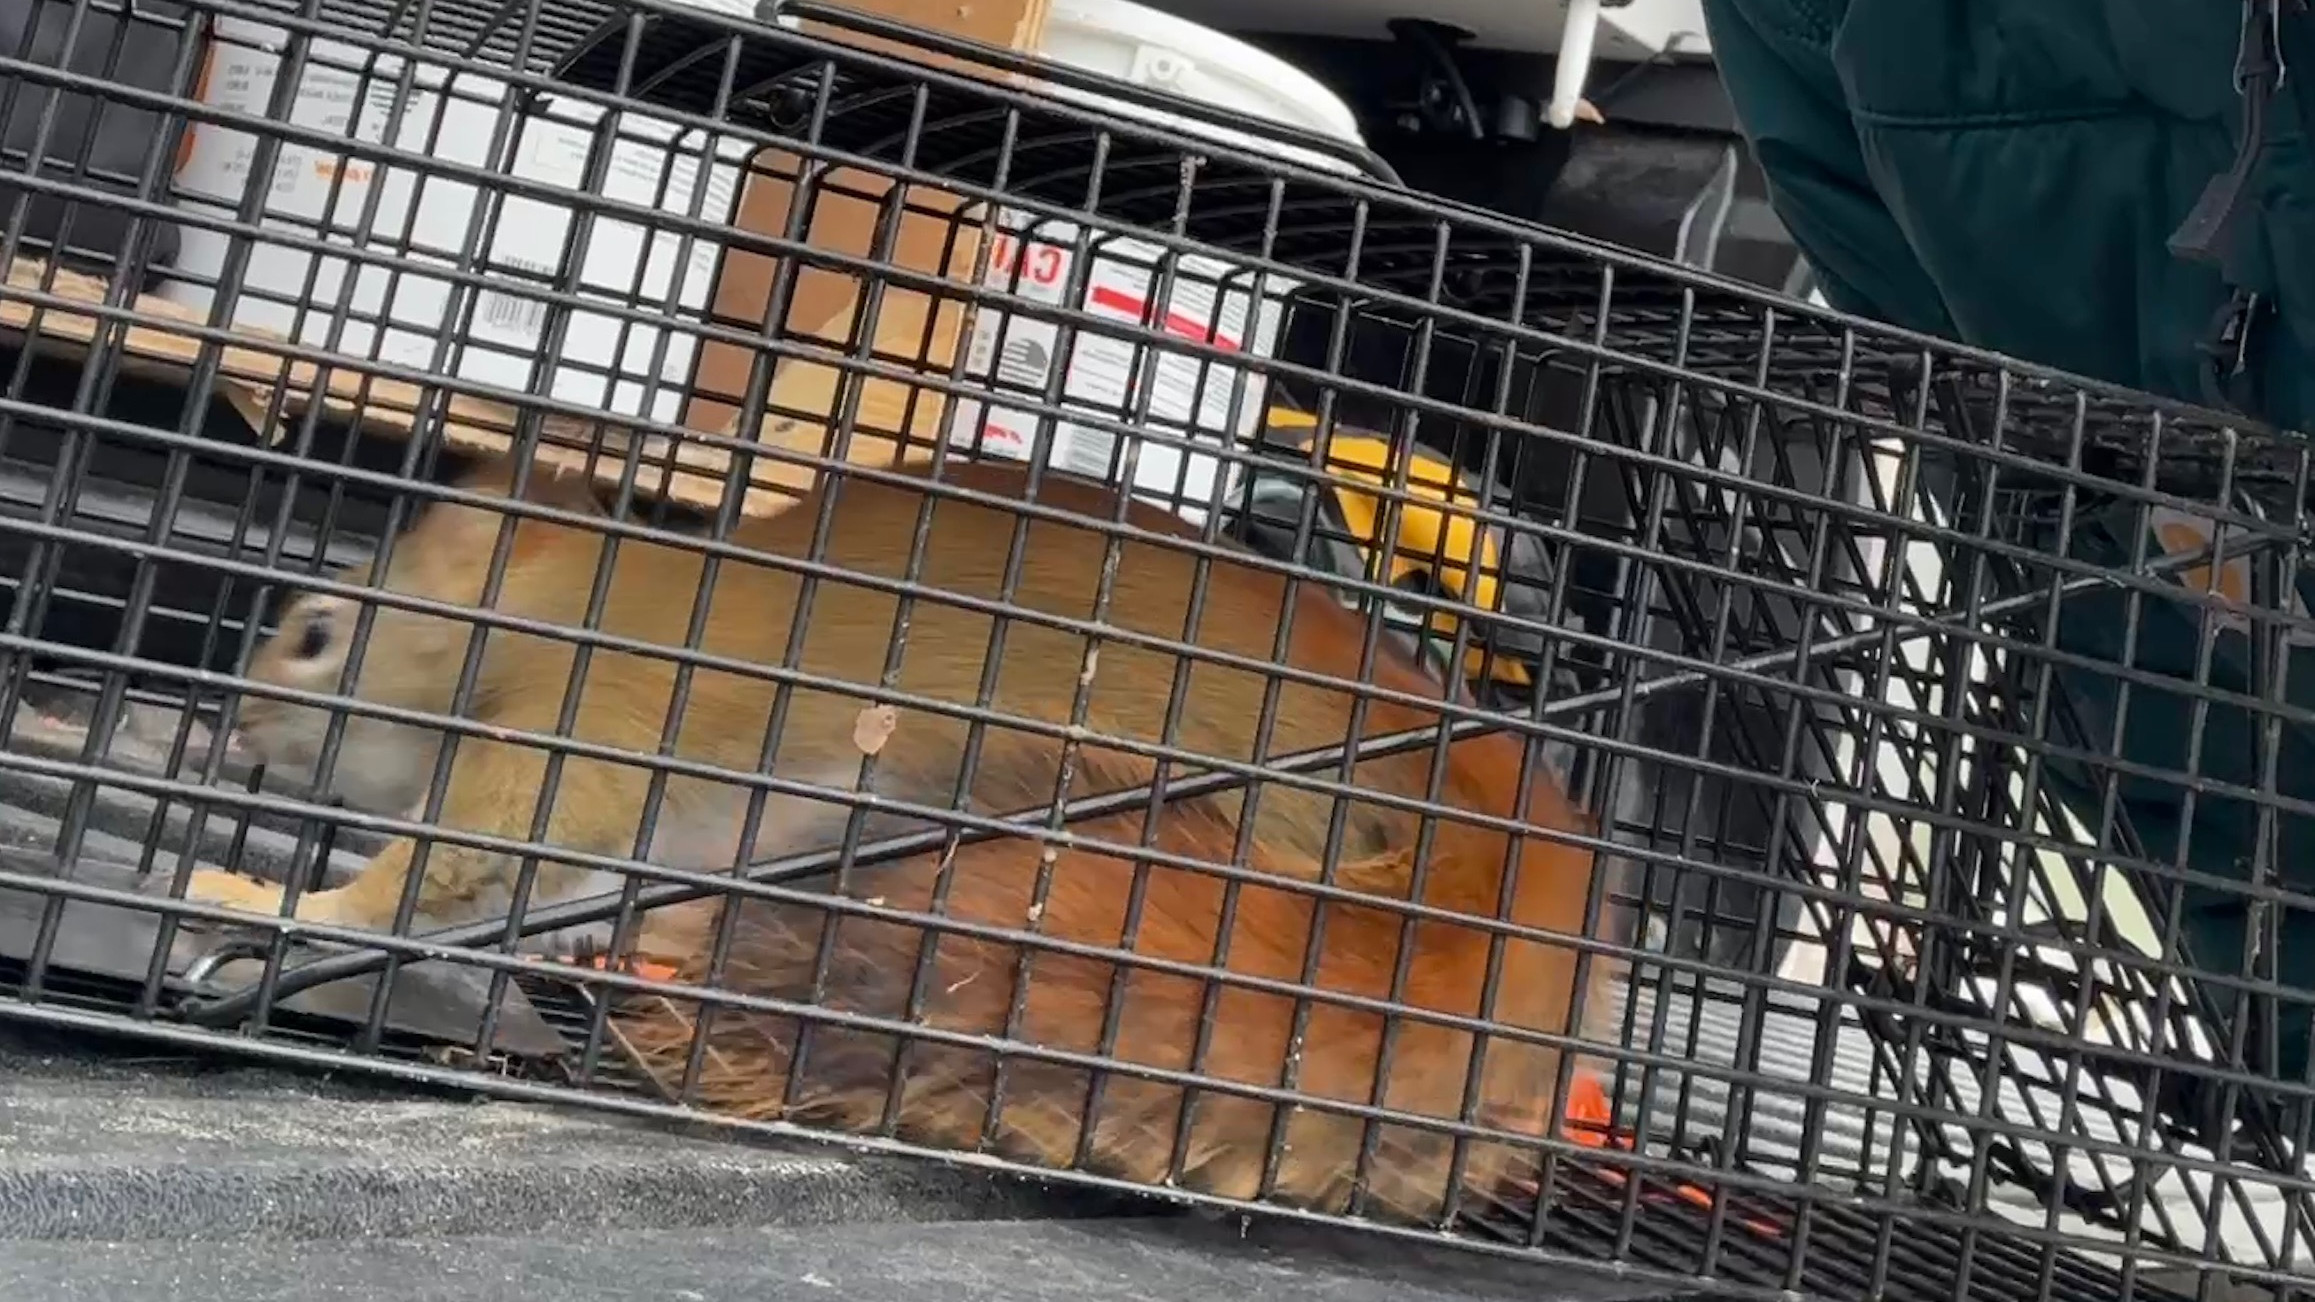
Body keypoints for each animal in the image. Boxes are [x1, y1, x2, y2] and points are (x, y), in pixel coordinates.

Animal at [185, 450, 1609, 1221]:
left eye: (316, 634)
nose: (235, 721)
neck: (562, 615)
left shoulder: (578, 743)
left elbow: (433, 879)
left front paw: (266, 907)